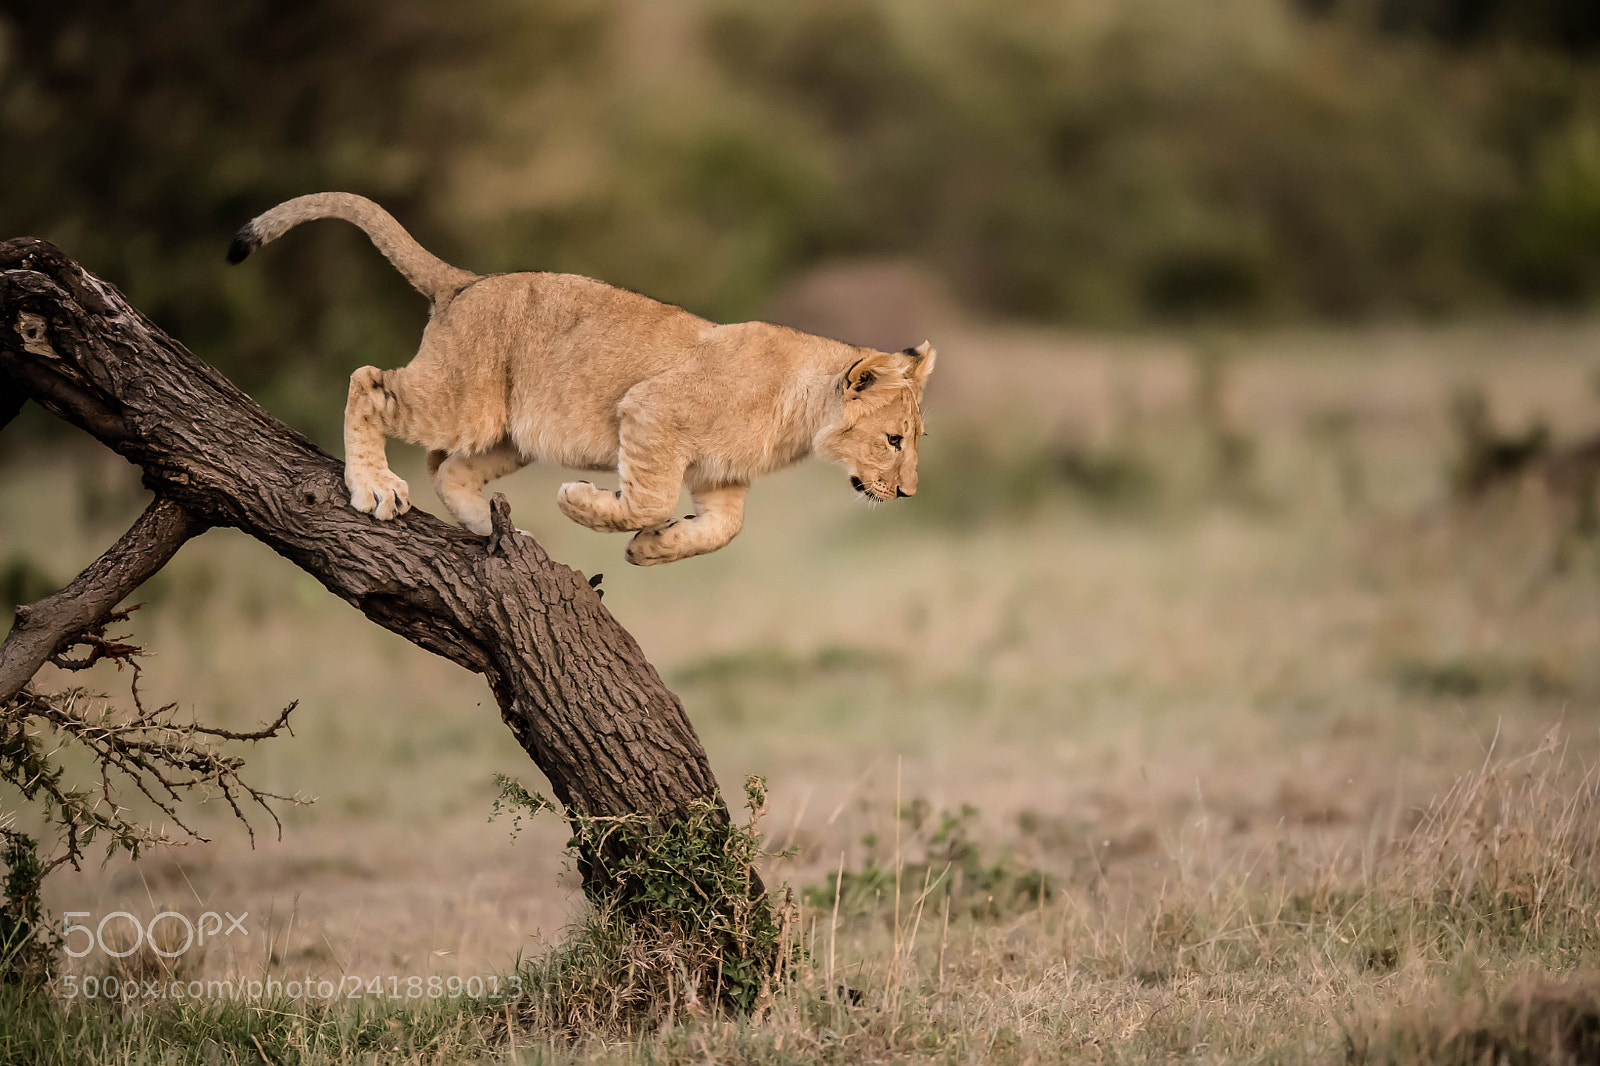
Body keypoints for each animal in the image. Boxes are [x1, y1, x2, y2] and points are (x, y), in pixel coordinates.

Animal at [227, 192, 936, 565]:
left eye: (912, 442)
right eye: (894, 441)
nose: (908, 494)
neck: (800, 420)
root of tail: (466, 281)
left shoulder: (722, 480)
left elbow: (722, 530)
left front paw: (654, 548)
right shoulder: (650, 410)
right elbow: (649, 496)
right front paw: (585, 504)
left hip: (508, 434)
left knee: (447, 468)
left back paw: (497, 533)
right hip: (458, 401)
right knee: (367, 381)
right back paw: (375, 487)